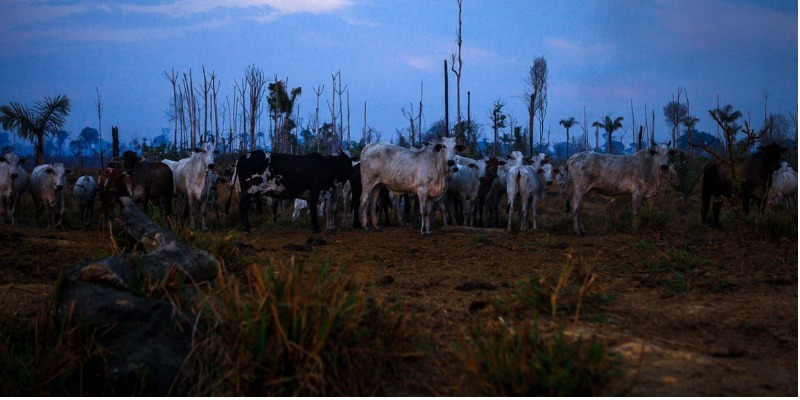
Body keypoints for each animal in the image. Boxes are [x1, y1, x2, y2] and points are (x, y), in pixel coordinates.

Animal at [223, 150, 352, 231]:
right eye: (347, 162)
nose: (353, 171)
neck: (324, 166)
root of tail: (244, 156)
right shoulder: (314, 193)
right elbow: (314, 211)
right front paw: (316, 229)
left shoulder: (309, 195)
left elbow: (312, 211)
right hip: (251, 191)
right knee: (243, 206)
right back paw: (247, 228)